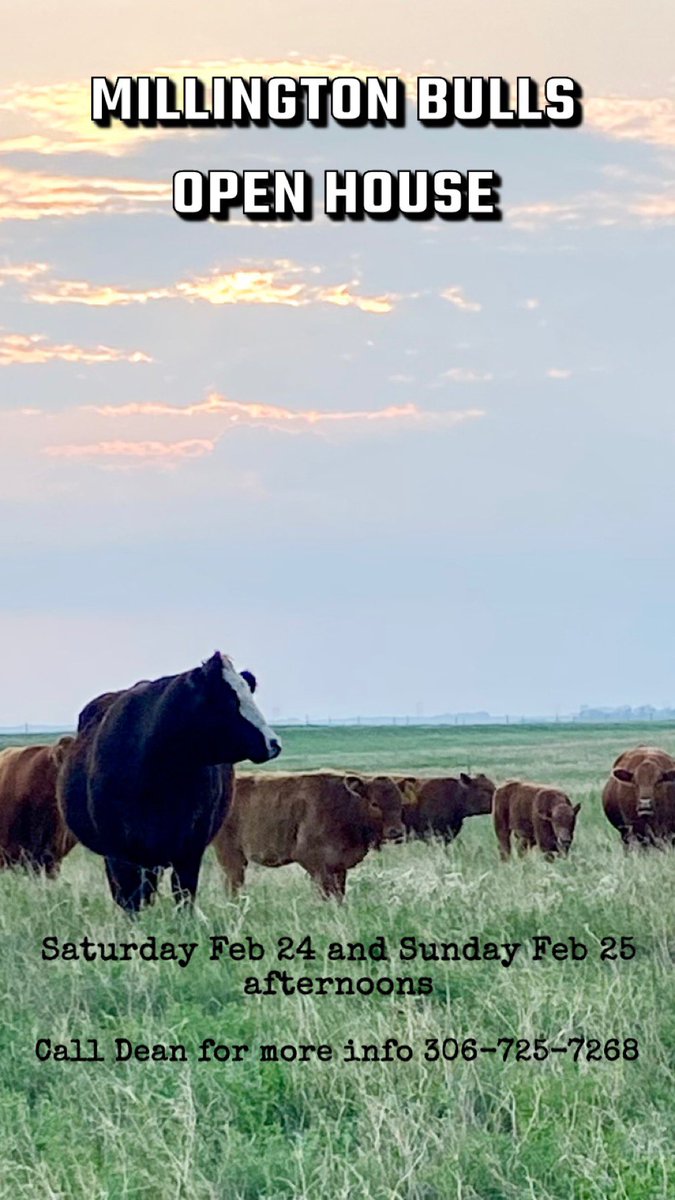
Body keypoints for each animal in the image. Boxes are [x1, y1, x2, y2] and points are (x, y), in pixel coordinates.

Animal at [58, 652, 280, 911]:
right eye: (228, 700)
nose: (273, 743)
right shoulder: (119, 853)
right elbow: (129, 900)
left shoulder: (190, 848)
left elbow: (184, 896)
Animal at [213, 771, 406, 900]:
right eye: (374, 803)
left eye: (399, 802)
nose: (396, 831)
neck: (345, 805)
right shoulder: (312, 862)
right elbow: (327, 893)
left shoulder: (338, 866)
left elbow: (339, 894)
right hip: (232, 858)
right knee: (234, 884)